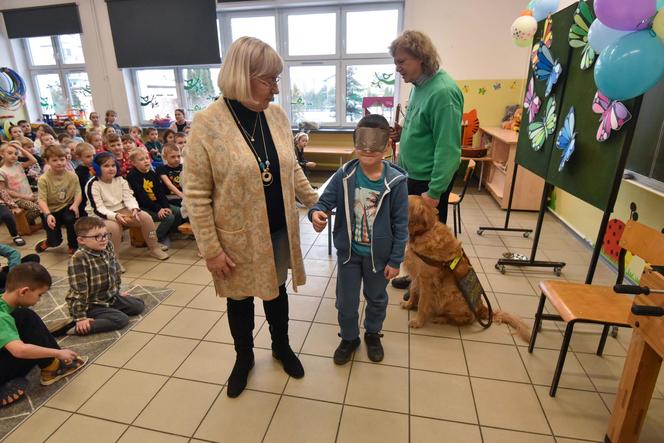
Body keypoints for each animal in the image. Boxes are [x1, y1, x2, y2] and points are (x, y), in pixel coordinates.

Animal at [400, 198, 528, 344]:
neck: (425, 232)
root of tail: (482, 309)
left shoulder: (426, 280)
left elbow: (422, 302)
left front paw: (418, 321)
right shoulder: (416, 275)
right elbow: (413, 291)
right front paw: (408, 304)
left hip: (450, 295)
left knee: (464, 320)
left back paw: (442, 318)